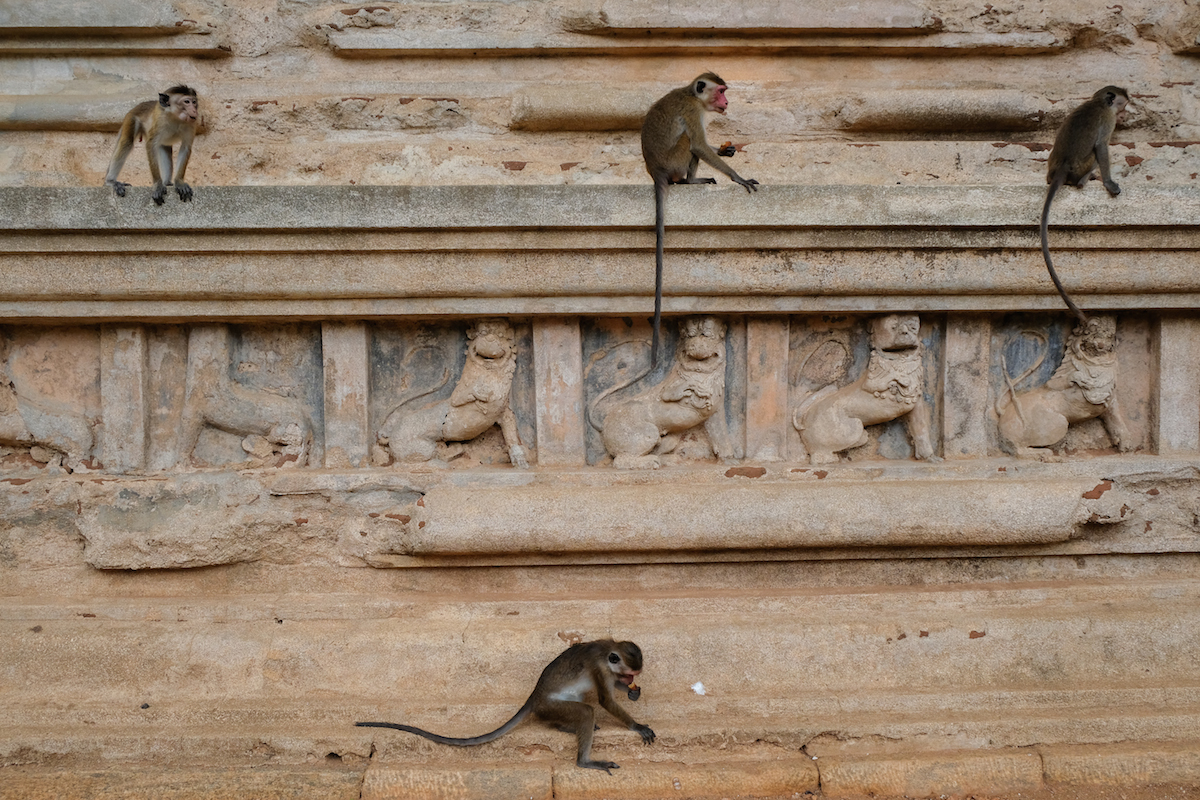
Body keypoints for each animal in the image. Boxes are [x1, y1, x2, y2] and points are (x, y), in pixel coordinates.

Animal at [356, 639, 654, 773]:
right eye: (630, 673)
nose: (631, 681)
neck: (607, 651)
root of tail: (534, 697)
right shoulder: (598, 667)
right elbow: (605, 700)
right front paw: (637, 725)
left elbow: (610, 693)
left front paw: (632, 694)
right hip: (551, 704)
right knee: (586, 710)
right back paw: (584, 759)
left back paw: (563, 727)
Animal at [641, 73, 758, 367]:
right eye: (721, 91)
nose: (726, 102)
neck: (692, 95)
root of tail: (656, 172)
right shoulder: (693, 112)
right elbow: (699, 146)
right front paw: (738, 177)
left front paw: (726, 150)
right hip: (675, 161)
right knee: (688, 143)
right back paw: (690, 180)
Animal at [1040, 86, 1131, 324]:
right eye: (1122, 106)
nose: (1124, 115)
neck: (1098, 102)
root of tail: (1062, 168)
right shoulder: (1108, 120)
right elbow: (1102, 147)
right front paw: (1109, 183)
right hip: (1084, 164)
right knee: (1095, 156)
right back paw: (1086, 179)